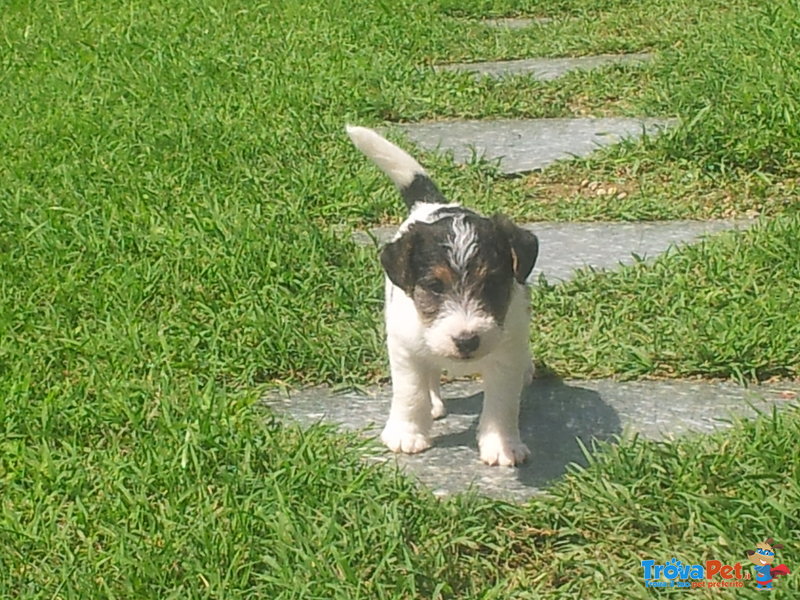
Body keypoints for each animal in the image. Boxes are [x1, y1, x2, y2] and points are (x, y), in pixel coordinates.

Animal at [346, 124, 536, 466]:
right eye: (435, 286)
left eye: (491, 285)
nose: (466, 341)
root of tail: (430, 206)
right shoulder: (404, 348)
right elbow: (411, 391)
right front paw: (407, 434)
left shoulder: (506, 353)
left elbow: (502, 402)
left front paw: (502, 446)